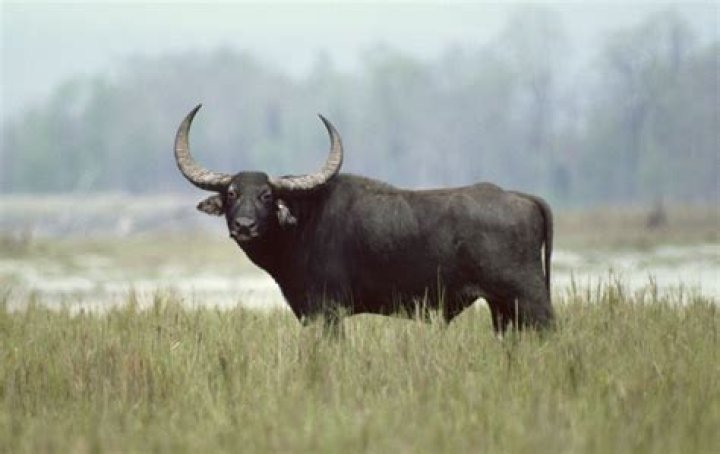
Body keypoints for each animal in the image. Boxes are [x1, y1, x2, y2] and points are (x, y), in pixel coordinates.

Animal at [174, 105, 554, 333]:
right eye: (232, 194)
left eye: (267, 196)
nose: (244, 226)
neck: (303, 223)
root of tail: (521, 197)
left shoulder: (327, 312)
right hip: (502, 308)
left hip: (530, 300)